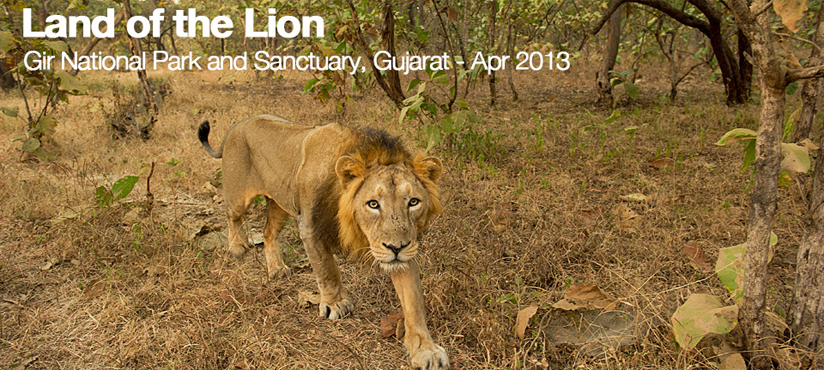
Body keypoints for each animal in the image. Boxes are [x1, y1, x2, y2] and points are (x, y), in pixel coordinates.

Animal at [198, 114, 450, 368]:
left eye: (413, 202)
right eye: (373, 204)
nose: (396, 247)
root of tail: (238, 124)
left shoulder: (405, 248)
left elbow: (413, 300)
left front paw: (425, 350)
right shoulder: (310, 227)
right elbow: (327, 270)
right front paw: (335, 304)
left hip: (280, 202)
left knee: (268, 232)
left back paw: (276, 268)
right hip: (239, 196)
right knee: (233, 217)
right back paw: (237, 247)